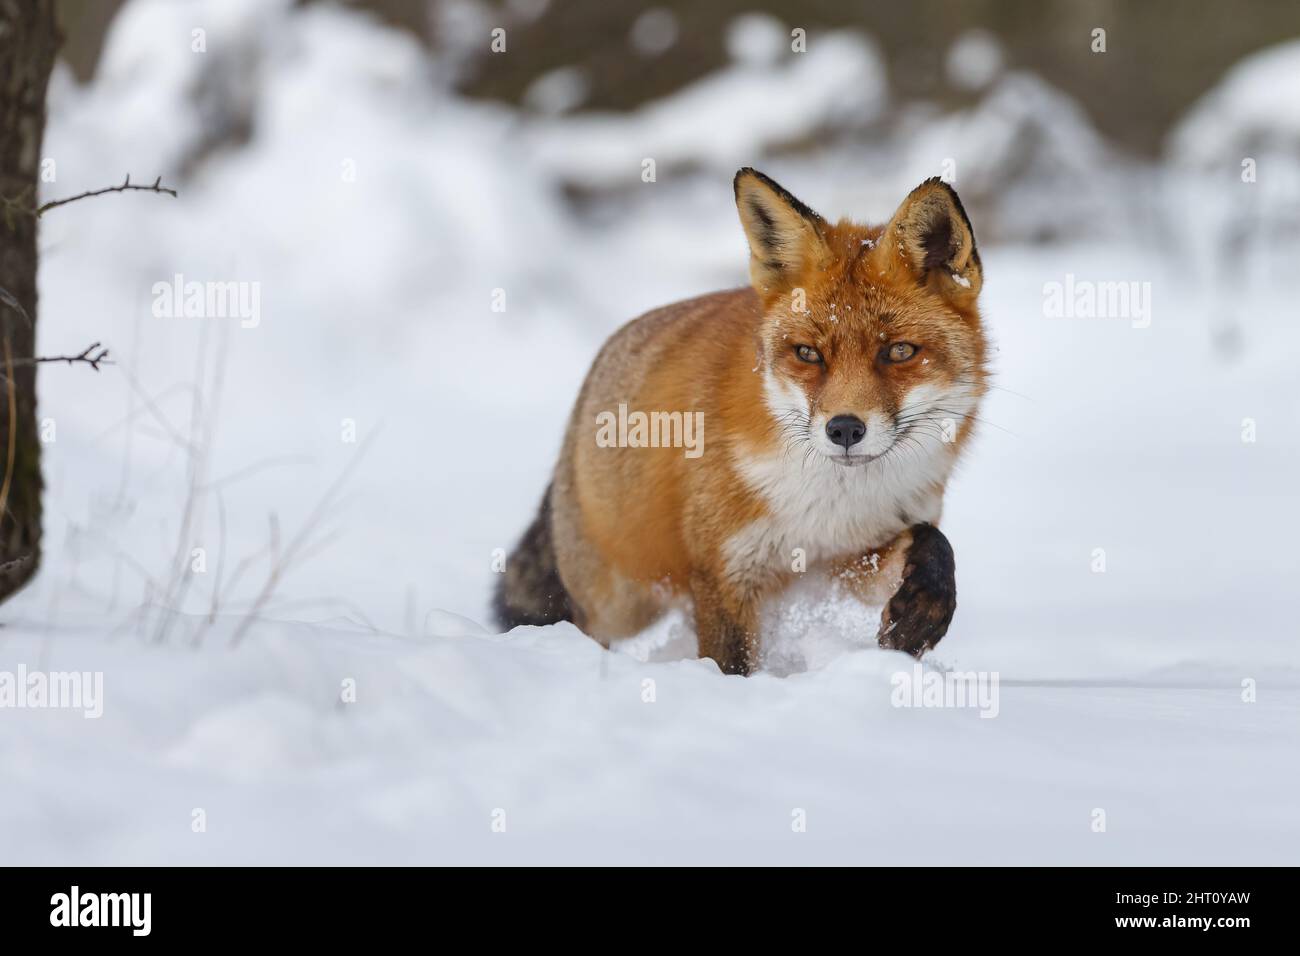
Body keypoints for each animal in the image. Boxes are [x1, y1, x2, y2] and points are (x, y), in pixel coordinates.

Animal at [494, 169, 988, 675]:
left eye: (899, 351)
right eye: (808, 354)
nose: (844, 429)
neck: (830, 505)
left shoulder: (847, 561)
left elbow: (932, 540)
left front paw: (924, 609)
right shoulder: (724, 572)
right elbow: (728, 663)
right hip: (619, 601)